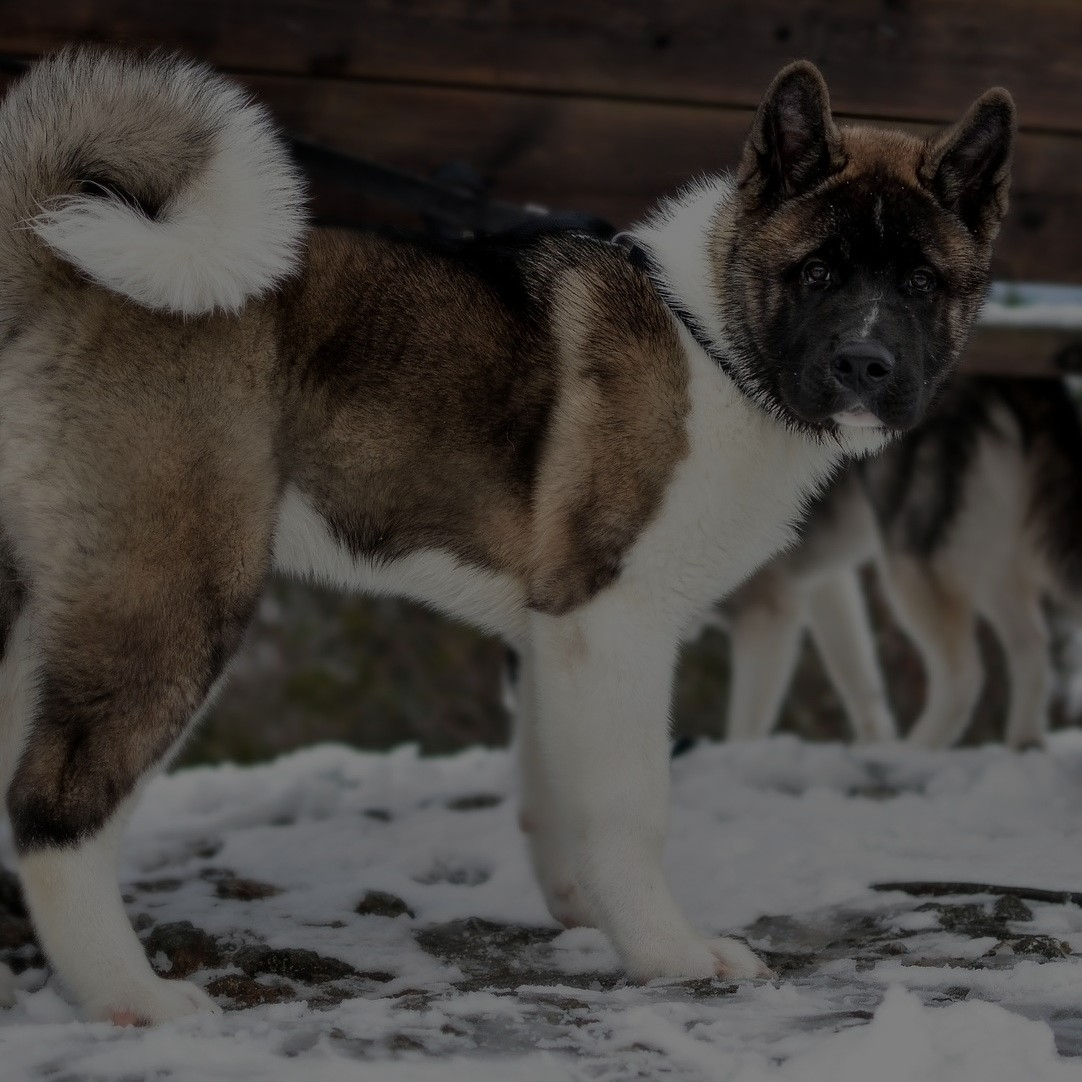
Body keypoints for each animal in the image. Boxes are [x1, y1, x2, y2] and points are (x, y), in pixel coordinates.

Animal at [0, 46, 1012, 1017]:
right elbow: (630, 808)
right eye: (818, 272)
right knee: (55, 809)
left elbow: (555, 793)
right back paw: (131, 996)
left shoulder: (554, 634)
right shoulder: (612, 619)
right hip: (174, 598)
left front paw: (583, 915)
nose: (865, 365)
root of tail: (57, 268)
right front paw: (668, 954)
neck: (714, 341)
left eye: (922, 282)